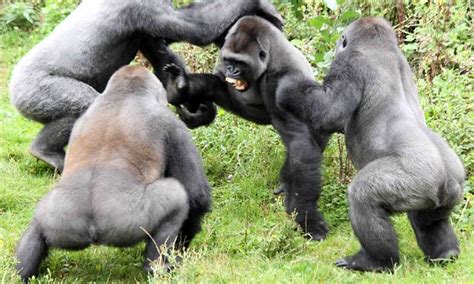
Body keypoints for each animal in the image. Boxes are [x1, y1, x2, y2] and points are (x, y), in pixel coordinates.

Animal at [8, 0, 282, 171]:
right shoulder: (142, 6)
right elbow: (196, 27)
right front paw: (258, 4)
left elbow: (161, 54)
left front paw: (194, 104)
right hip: (33, 91)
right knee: (84, 107)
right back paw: (46, 151)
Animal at [15, 65, 211, 282]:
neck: (124, 94)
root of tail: (92, 230)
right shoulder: (173, 125)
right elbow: (196, 196)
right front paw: (184, 242)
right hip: (127, 219)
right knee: (176, 198)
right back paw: (158, 269)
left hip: (57, 217)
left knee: (36, 227)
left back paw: (22, 273)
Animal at [165, 16, 332, 241]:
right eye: (229, 61)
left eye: (241, 63)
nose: (232, 71)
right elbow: (217, 81)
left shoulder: (282, 83)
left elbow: (299, 143)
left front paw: (307, 217)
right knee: (215, 85)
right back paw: (182, 88)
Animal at [276, 16, 464, 272]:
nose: (337, 45)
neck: (380, 47)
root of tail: (448, 178)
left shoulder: (349, 63)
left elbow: (328, 112)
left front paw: (289, 86)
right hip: (447, 191)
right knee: (428, 220)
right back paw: (445, 252)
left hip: (417, 179)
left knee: (362, 196)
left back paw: (375, 261)